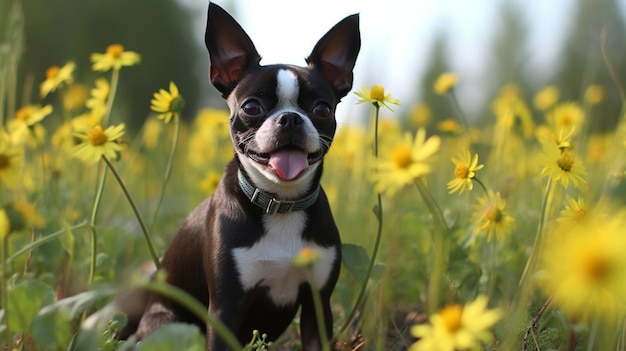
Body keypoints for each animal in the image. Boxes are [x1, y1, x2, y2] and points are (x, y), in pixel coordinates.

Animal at [122, 2, 358, 351]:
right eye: (251, 107)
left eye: (322, 110)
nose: (290, 118)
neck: (280, 204)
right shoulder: (224, 308)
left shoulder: (318, 306)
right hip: (168, 323)